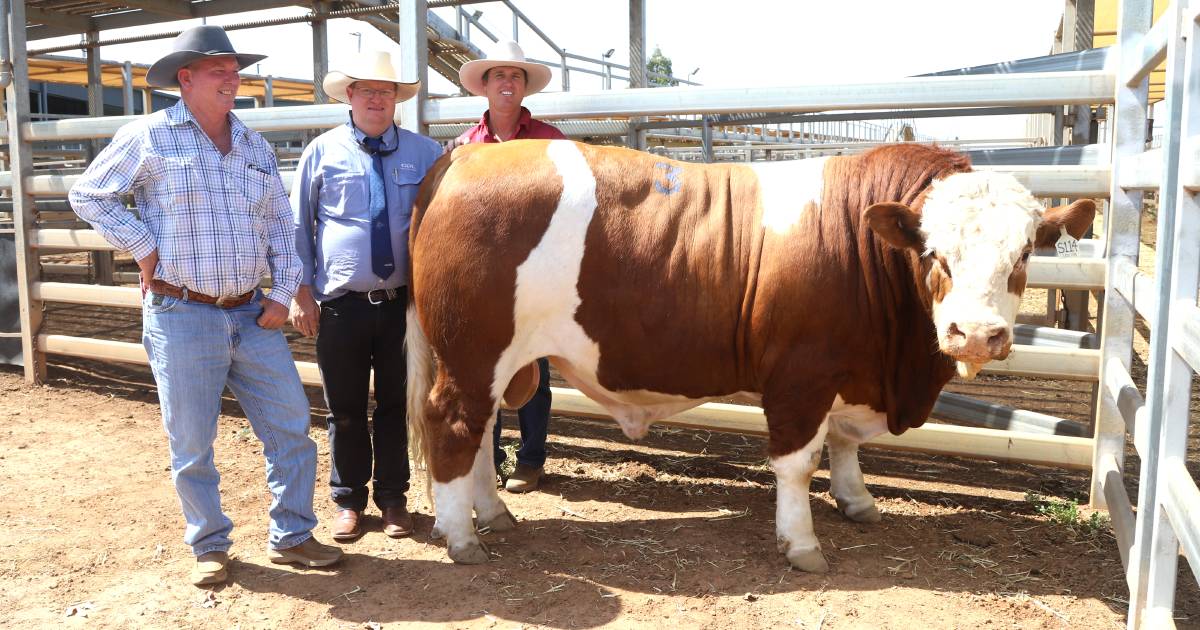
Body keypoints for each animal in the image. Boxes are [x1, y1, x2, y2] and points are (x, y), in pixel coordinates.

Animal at [405, 141, 1099, 568]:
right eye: (935, 253)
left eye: (1024, 255)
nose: (975, 334)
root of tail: (467, 154)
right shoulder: (802, 375)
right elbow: (796, 463)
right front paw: (802, 544)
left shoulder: (849, 372)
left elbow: (844, 443)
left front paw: (858, 502)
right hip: (472, 353)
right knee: (453, 424)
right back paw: (462, 537)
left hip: (491, 363)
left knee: (482, 428)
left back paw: (494, 514)